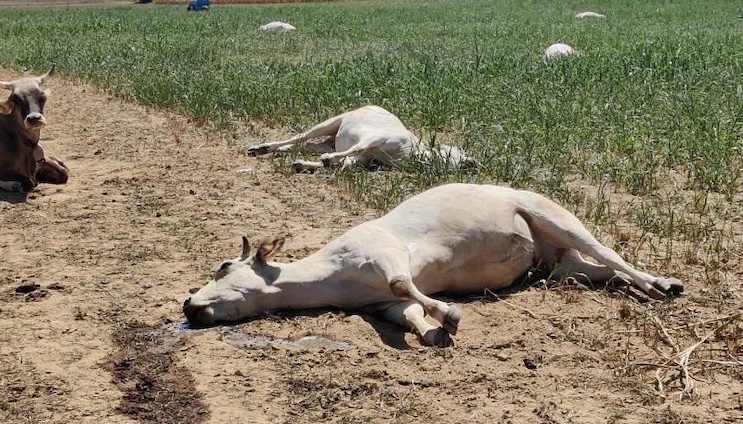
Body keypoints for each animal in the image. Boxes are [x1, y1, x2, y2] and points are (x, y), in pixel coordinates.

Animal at [183, 183, 683, 347]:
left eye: (223, 266)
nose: (189, 306)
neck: (329, 275)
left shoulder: (384, 254)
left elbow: (404, 285)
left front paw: (451, 315)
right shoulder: (377, 306)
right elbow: (405, 312)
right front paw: (432, 331)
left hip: (556, 218)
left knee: (612, 255)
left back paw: (663, 284)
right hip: (561, 265)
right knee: (603, 271)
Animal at [246, 105, 474, 173]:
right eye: (455, 151)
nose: (473, 162)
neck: (409, 151)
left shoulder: (366, 159)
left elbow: (347, 163)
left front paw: (306, 164)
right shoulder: (374, 138)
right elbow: (353, 150)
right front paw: (326, 160)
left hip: (327, 141)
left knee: (307, 145)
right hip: (331, 123)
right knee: (300, 137)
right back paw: (260, 148)